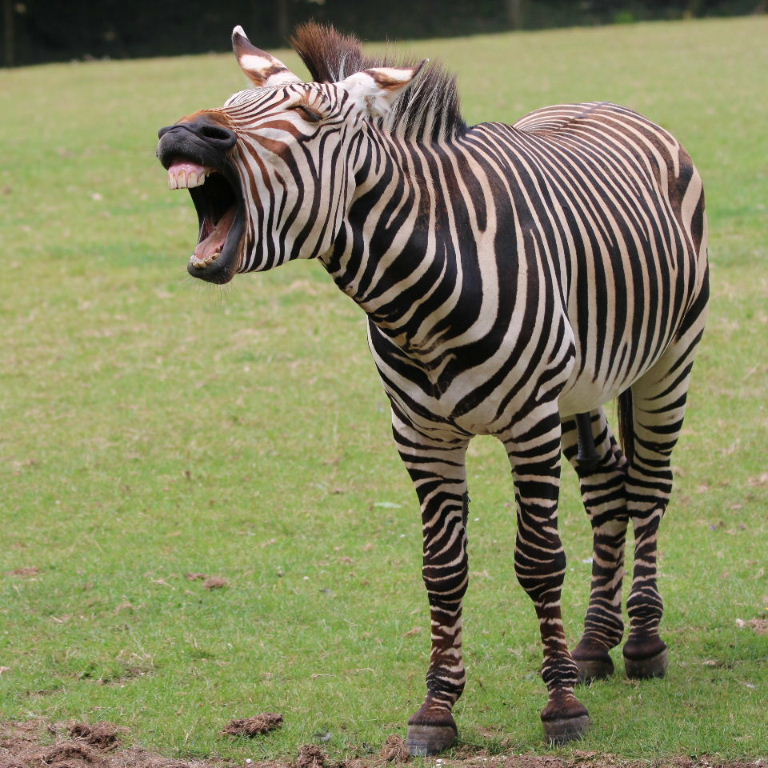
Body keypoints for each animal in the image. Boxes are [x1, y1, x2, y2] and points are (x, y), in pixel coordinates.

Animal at [156, 23, 709, 754]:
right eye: (230, 102)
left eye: (309, 118)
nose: (184, 133)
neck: (419, 299)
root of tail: (610, 104)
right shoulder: (422, 436)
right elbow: (442, 572)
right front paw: (437, 711)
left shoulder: (529, 423)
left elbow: (539, 561)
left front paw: (561, 707)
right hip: (583, 386)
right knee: (608, 486)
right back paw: (595, 644)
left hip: (667, 360)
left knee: (647, 485)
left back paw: (643, 644)